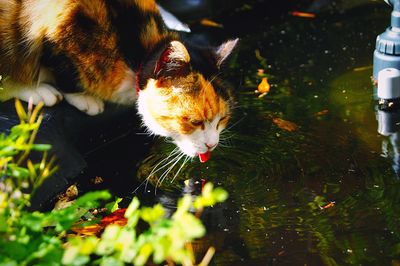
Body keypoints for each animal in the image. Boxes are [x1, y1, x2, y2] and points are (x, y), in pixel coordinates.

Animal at [0, 0, 238, 161]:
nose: (212, 144)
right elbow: (65, 70)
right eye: (195, 122)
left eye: (222, 119)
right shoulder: (58, 22)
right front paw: (83, 98)